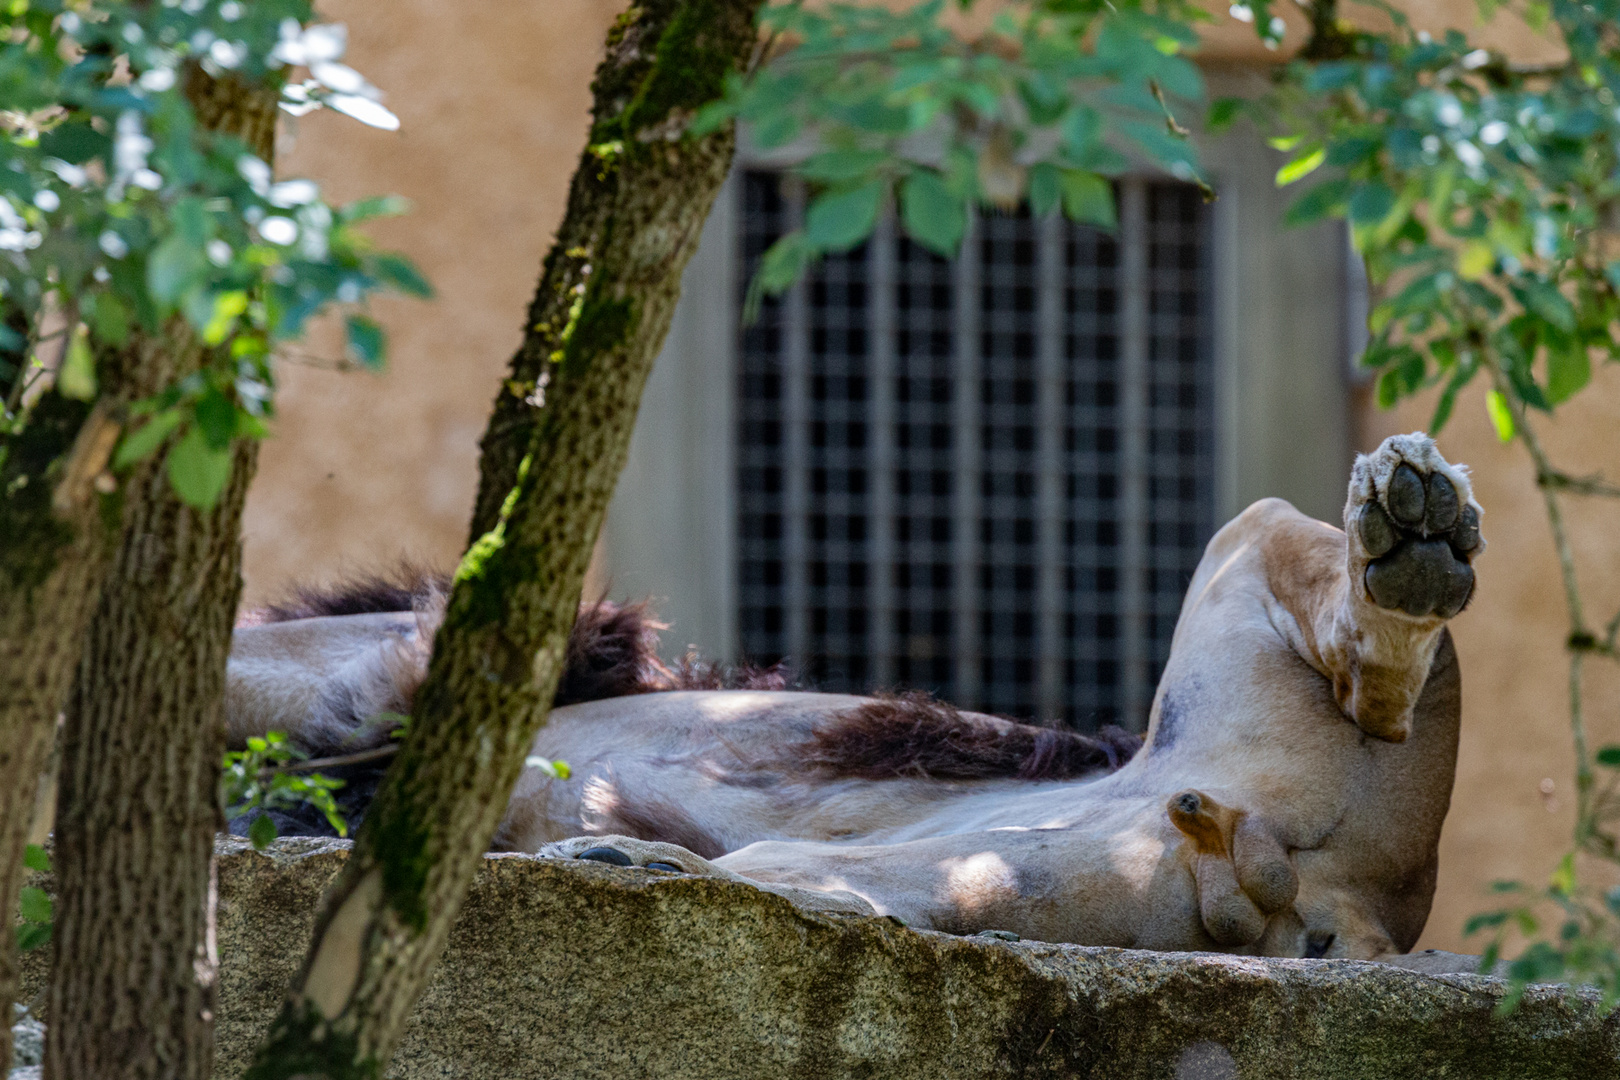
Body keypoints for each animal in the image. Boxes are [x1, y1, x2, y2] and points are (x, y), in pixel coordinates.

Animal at [225, 430, 1483, 965]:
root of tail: (1368, 897)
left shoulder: (329, 666)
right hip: (1050, 873)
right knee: (838, 899)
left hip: (1220, 602)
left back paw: (1412, 527)